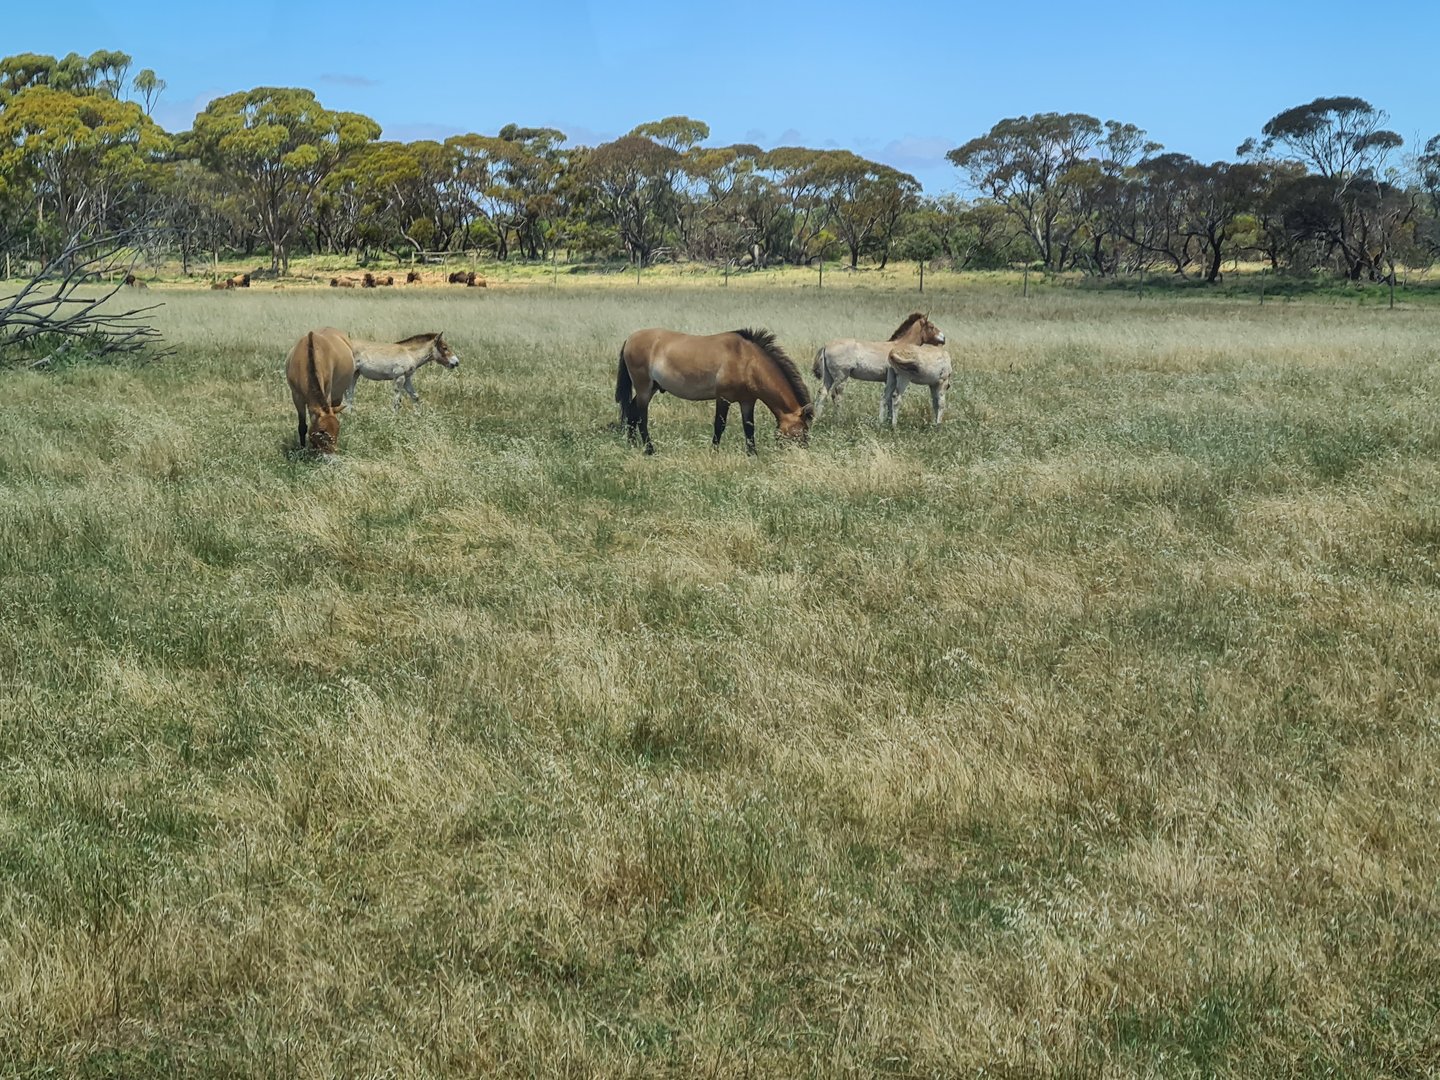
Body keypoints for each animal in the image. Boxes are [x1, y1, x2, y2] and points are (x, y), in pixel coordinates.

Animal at [322, 329, 461, 411]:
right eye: (445, 347)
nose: (456, 362)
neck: (409, 353)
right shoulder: (400, 377)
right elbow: (397, 401)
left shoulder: (407, 379)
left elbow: (415, 397)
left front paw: (419, 415)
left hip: (355, 375)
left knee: (349, 395)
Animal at [616, 327, 814, 454]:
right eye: (800, 434)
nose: (802, 457)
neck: (746, 360)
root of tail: (629, 339)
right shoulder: (723, 398)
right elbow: (720, 425)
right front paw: (714, 452)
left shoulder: (747, 401)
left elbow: (749, 427)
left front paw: (752, 454)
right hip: (644, 388)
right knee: (641, 417)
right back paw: (649, 450)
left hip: (651, 388)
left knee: (632, 412)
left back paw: (632, 445)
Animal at [812, 313, 946, 419]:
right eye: (931, 326)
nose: (944, 338)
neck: (899, 346)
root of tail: (826, 346)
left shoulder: (889, 380)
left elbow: (889, 398)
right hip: (841, 377)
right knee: (836, 395)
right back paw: (840, 419)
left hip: (828, 377)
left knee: (822, 393)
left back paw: (817, 418)